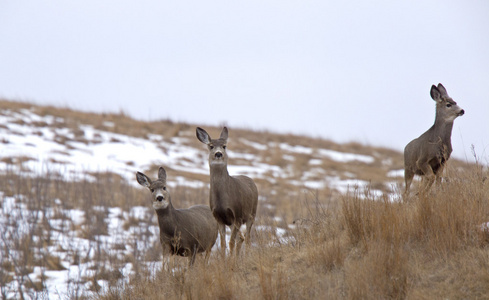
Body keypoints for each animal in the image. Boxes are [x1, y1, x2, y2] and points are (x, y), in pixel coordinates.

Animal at [195, 126, 260, 255]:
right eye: (211, 146)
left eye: (224, 146)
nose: (218, 153)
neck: (222, 199)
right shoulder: (219, 218)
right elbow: (223, 244)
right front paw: (225, 259)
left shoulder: (237, 216)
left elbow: (231, 243)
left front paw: (230, 260)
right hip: (231, 221)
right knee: (241, 238)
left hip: (251, 214)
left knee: (247, 239)